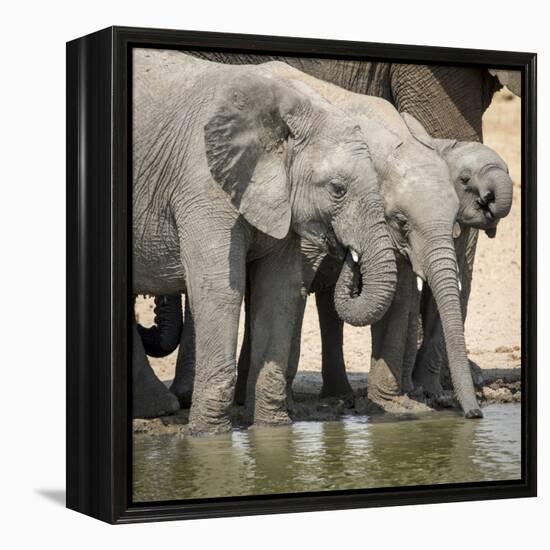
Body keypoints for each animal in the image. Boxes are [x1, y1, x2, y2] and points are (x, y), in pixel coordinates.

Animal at [134, 49, 402, 434]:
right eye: (337, 189)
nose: (348, 254)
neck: (290, 109)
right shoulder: (202, 184)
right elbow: (219, 289)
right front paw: (208, 438)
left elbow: (280, 291)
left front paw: (272, 430)